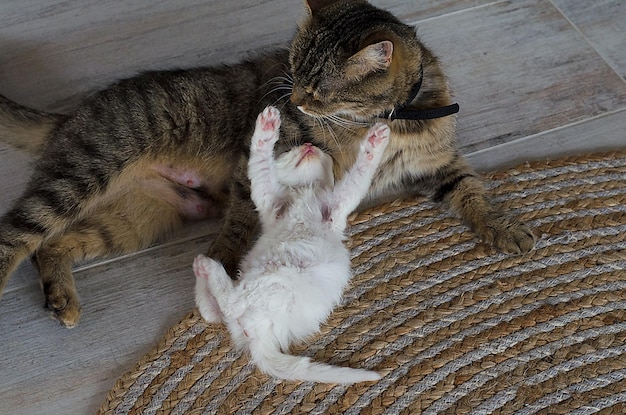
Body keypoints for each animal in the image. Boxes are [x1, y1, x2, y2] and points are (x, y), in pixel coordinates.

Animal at [0, 0, 532, 332]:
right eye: (292, 71)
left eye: (318, 88)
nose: (291, 98)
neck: (392, 118)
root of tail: (69, 116)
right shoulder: (263, 161)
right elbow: (238, 224)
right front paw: (222, 263)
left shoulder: (441, 163)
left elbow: (473, 193)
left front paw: (505, 228)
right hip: (80, 177)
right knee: (17, 235)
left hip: (131, 222)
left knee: (52, 247)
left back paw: (61, 299)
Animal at [193, 105, 388, 386]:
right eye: (288, 152)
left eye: (322, 153)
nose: (308, 145)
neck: (303, 193)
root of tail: (260, 338)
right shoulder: (268, 201)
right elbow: (259, 166)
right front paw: (267, 128)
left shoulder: (337, 206)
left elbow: (359, 175)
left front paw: (376, 140)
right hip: (270, 282)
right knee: (221, 309)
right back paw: (204, 268)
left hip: (275, 281)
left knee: (225, 308)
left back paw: (206, 268)